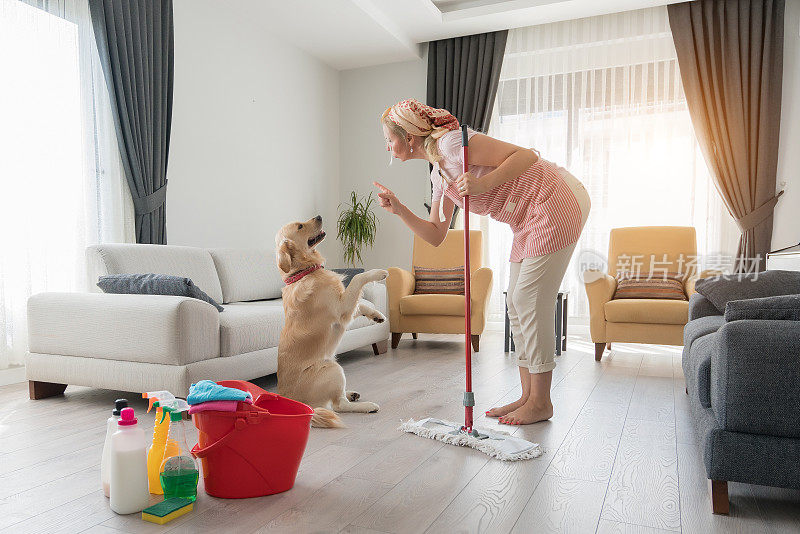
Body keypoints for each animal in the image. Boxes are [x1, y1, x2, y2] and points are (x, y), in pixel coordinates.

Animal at [276, 216, 388, 430]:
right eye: (300, 226)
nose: (319, 216)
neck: (305, 272)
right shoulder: (341, 309)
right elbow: (358, 278)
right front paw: (378, 273)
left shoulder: (344, 308)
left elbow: (361, 304)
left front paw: (377, 315)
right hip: (332, 368)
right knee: (338, 405)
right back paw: (367, 406)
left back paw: (352, 393)